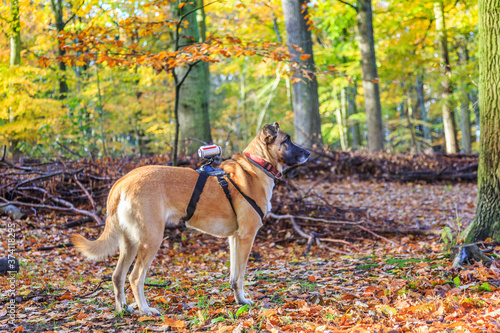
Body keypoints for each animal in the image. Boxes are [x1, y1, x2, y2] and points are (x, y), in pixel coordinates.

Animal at [70, 121, 308, 314]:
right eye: (287, 140)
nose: (308, 153)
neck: (256, 166)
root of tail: (122, 181)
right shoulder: (246, 237)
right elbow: (240, 275)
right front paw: (243, 301)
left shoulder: (235, 239)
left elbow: (233, 277)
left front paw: (238, 299)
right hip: (151, 239)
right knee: (135, 277)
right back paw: (145, 310)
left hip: (130, 242)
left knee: (117, 276)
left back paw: (123, 309)